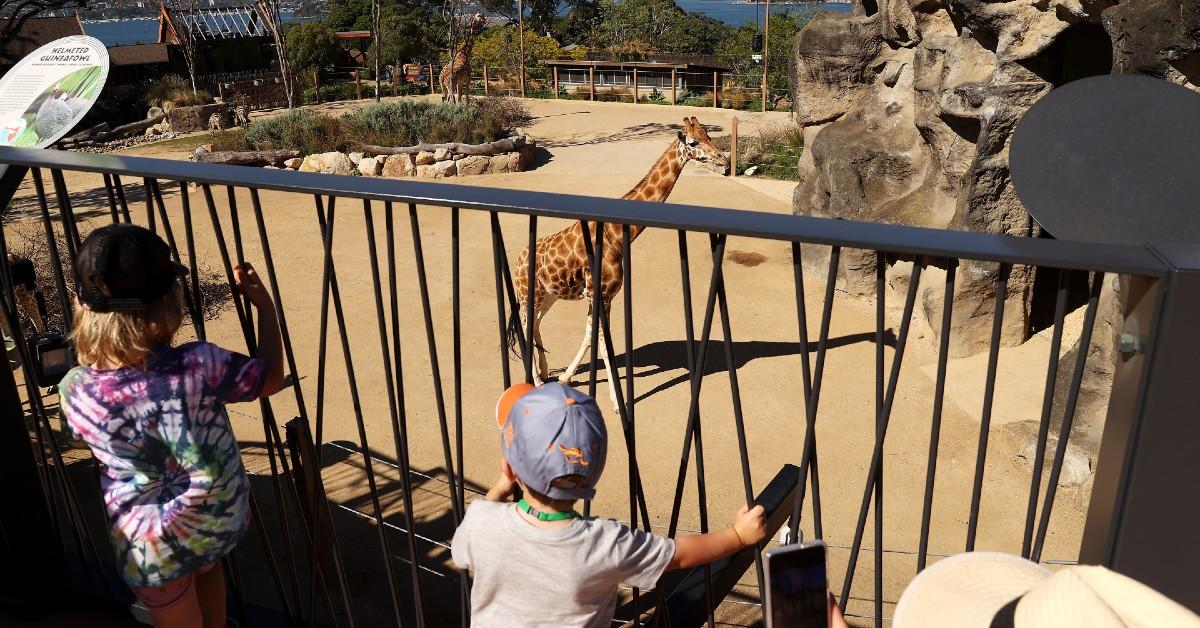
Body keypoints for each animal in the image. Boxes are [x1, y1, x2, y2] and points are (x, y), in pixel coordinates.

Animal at [508, 116, 729, 413]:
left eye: (708, 134)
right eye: (693, 142)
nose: (724, 160)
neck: (615, 235)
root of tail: (518, 259)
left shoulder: (604, 296)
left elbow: (592, 334)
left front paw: (566, 377)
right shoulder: (600, 294)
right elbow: (604, 341)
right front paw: (617, 402)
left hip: (549, 295)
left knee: (535, 324)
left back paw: (544, 373)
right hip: (527, 292)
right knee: (525, 326)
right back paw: (537, 381)